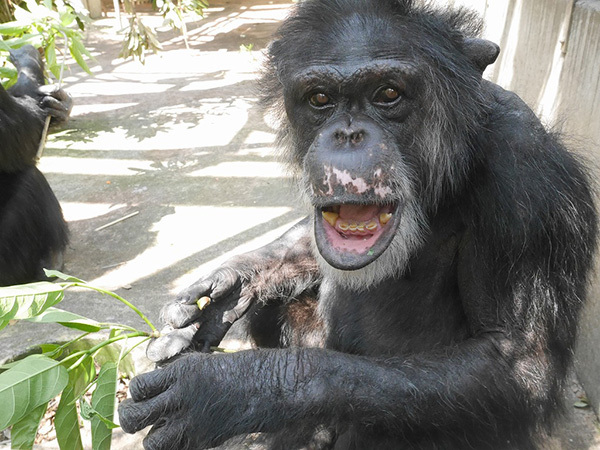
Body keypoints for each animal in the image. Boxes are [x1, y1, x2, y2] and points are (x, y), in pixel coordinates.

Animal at [118, 1, 600, 448]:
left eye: (388, 93)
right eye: (319, 99)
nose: (348, 135)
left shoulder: (528, 182)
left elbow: (516, 362)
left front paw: (228, 388)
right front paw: (223, 292)